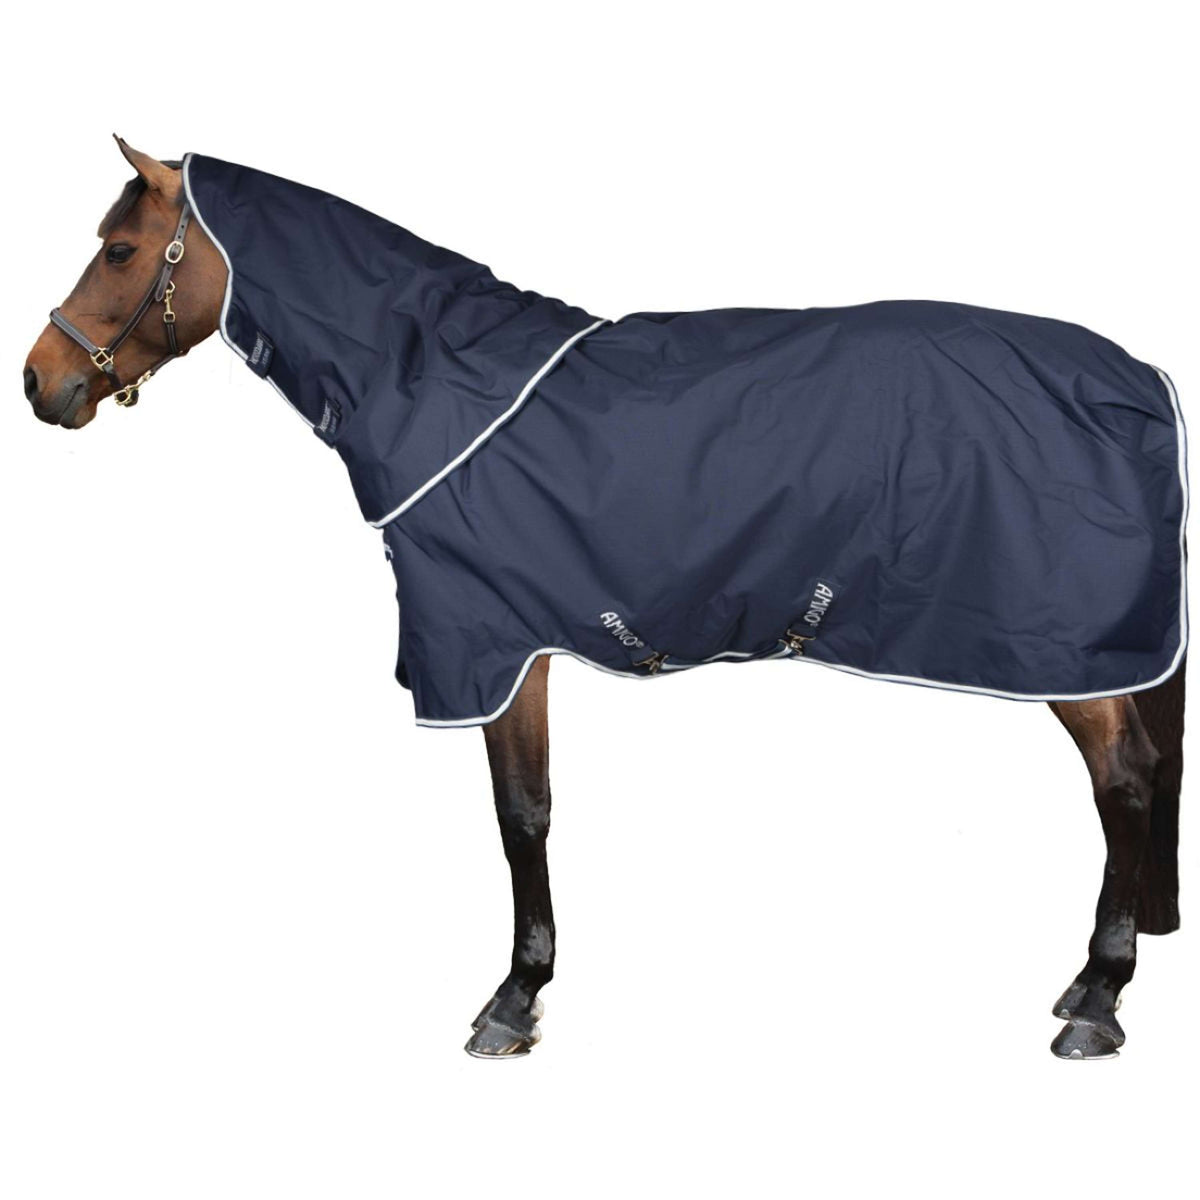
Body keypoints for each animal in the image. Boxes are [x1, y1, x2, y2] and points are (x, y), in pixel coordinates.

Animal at [23, 138, 1186, 1060]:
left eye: (120, 251)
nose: (39, 382)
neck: (436, 379)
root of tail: (1135, 379)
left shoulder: (491, 646)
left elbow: (521, 816)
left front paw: (513, 999)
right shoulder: (515, 646)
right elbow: (531, 809)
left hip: (1070, 656)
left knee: (1125, 782)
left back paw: (1097, 1000)